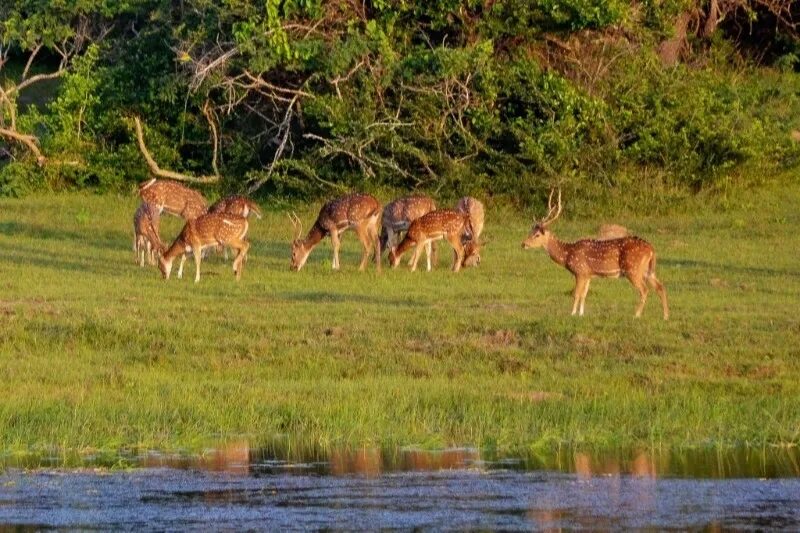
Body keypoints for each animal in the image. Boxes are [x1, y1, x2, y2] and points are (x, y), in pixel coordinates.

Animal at [520, 189, 672, 318]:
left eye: (537, 235)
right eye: (531, 231)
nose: (523, 244)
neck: (567, 254)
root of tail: (651, 249)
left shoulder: (580, 271)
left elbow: (576, 294)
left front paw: (572, 314)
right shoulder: (588, 274)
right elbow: (584, 295)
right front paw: (581, 314)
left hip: (632, 269)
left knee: (644, 290)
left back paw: (636, 315)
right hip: (647, 269)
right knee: (661, 287)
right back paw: (665, 316)